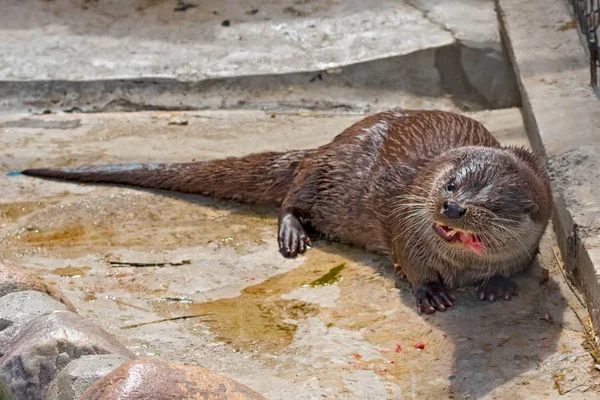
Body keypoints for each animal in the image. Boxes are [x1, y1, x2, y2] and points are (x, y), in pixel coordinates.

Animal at [21, 110, 552, 316]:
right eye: (450, 183)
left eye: (490, 204)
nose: (451, 207)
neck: (462, 266)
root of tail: (327, 145)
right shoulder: (405, 227)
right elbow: (412, 262)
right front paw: (431, 293)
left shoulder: (528, 245)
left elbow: (518, 265)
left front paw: (498, 285)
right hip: (328, 177)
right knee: (291, 198)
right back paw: (293, 235)